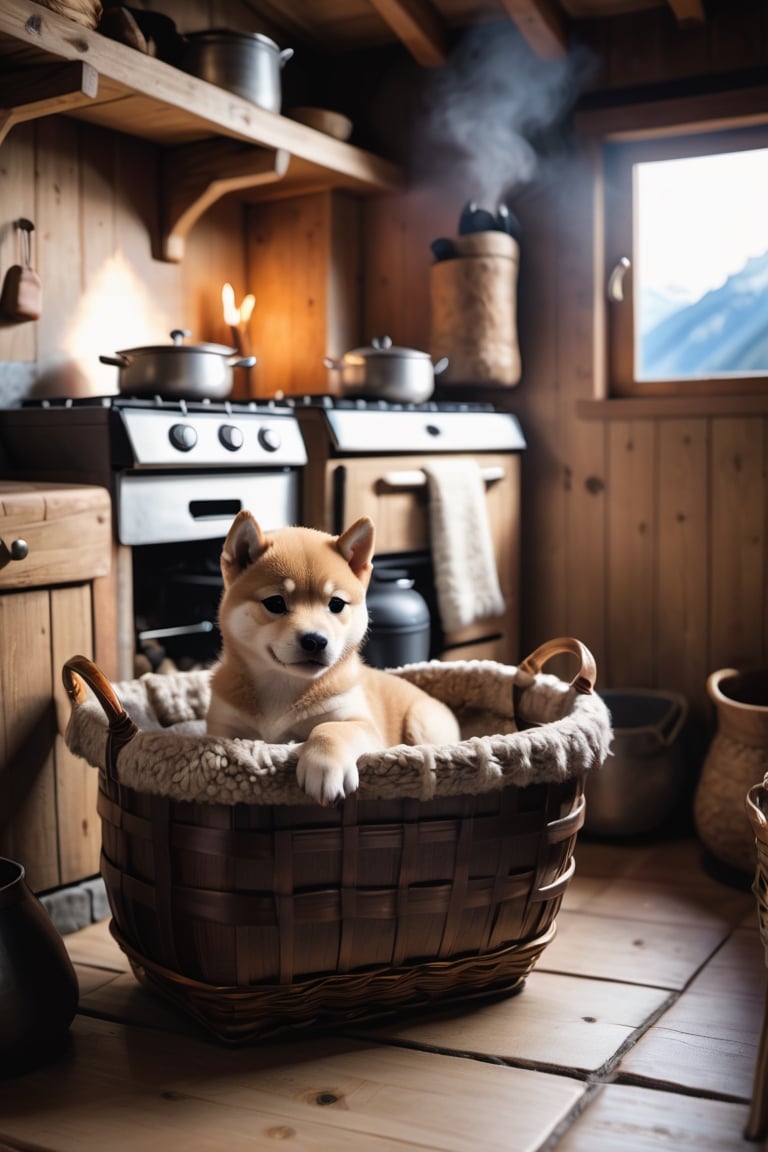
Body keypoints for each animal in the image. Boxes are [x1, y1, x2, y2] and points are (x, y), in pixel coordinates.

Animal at [202, 509, 462, 806]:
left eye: (336, 604)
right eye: (275, 603)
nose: (315, 640)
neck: (283, 686)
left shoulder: (361, 723)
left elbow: (330, 729)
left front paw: (323, 765)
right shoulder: (222, 727)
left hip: (422, 721)